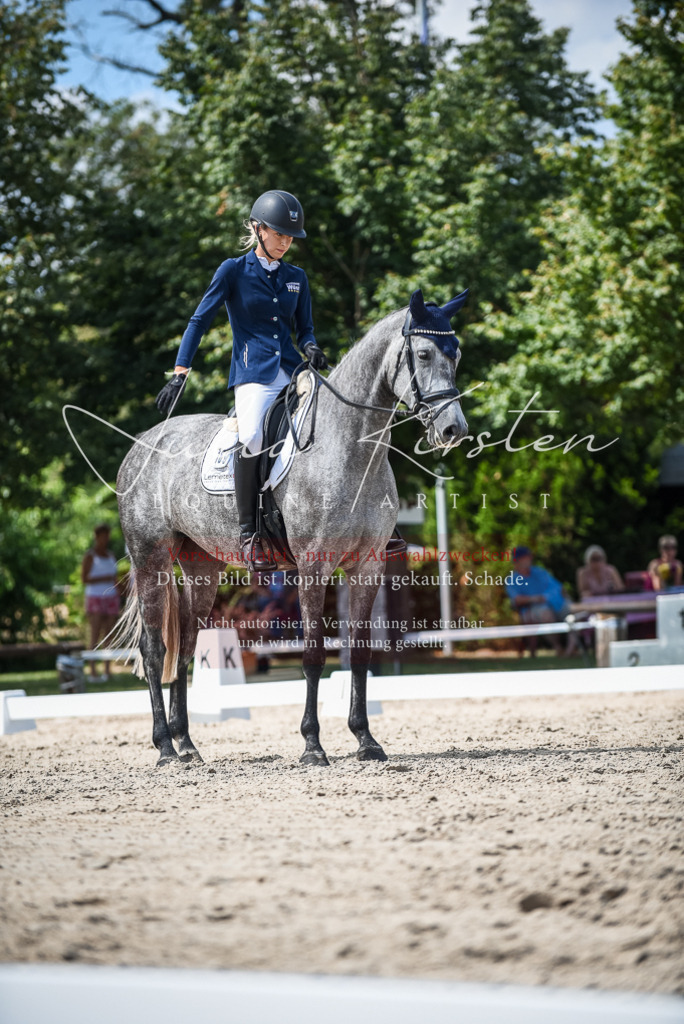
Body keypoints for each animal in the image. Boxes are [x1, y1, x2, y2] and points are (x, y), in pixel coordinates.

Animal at [115, 289, 469, 767]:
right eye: (425, 353)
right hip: (149, 559)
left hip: (201, 567)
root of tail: (143, 443)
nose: (453, 429)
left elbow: (360, 653)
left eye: (457, 354)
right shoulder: (313, 568)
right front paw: (313, 745)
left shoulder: (367, 567)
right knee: (154, 649)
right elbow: (314, 654)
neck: (348, 447)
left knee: (185, 646)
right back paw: (166, 748)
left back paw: (187, 744)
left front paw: (366, 740)